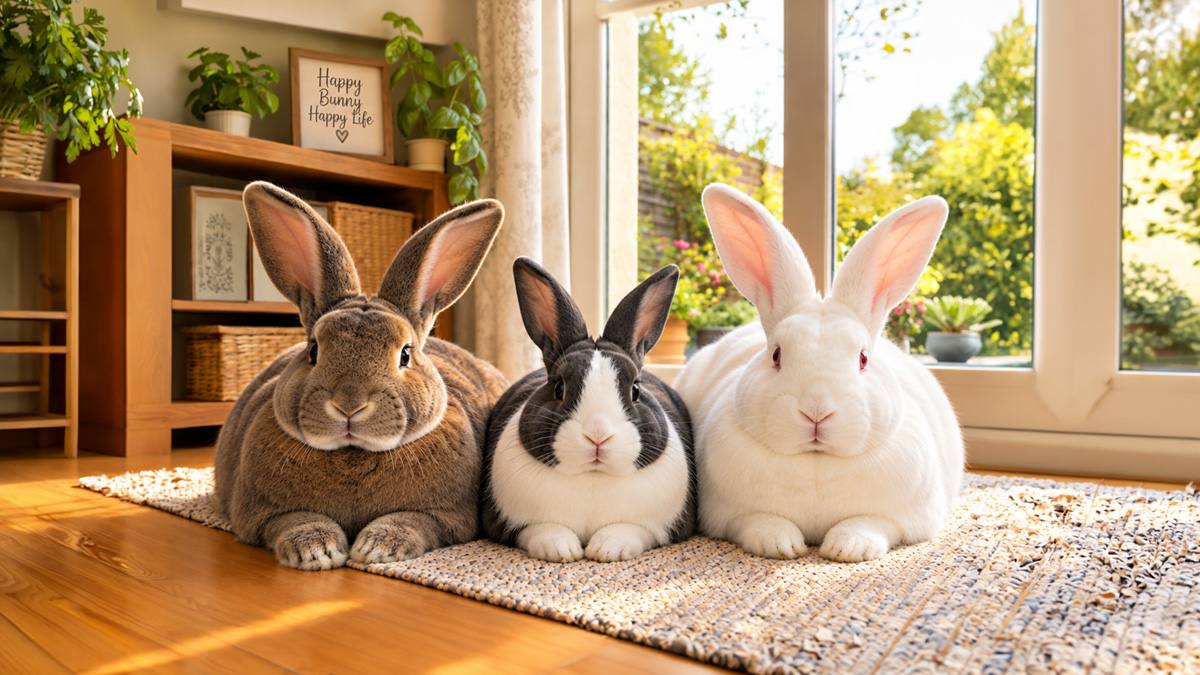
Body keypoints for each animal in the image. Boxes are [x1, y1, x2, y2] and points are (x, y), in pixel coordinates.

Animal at [213, 182, 509, 571]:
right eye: (313, 350)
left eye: (405, 354)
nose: (349, 405)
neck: (354, 453)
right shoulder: (259, 514)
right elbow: (293, 521)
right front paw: (317, 552)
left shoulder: (448, 517)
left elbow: (414, 522)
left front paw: (377, 548)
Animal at [480, 257, 696, 562]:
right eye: (559, 388)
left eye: (635, 391)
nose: (598, 435)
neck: (593, 477)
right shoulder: (508, 523)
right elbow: (542, 529)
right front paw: (562, 550)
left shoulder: (661, 527)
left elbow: (629, 529)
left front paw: (607, 549)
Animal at [673, 183, 964, 563]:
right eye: (777, 355)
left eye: (863, 358)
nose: (816, 411)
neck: (817, 462)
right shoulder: (730, 515)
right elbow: (759, 521)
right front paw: (781, 544)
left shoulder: (903, 517)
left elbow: (869, 523)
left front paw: (848, 548)